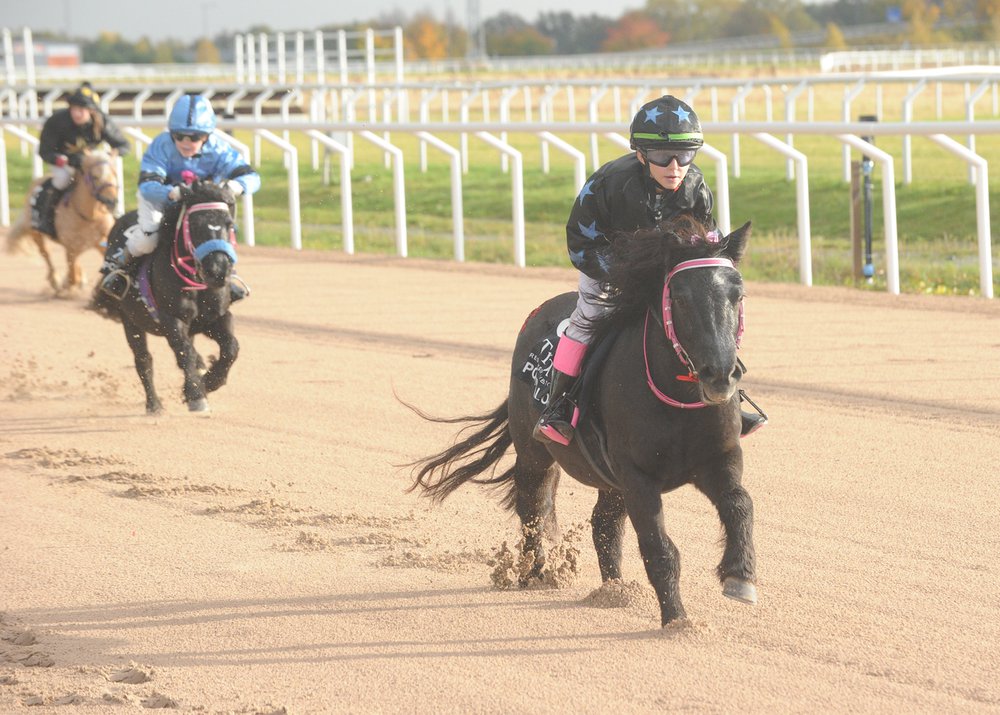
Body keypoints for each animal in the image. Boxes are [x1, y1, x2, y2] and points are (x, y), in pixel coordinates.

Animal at [7, 151, 120, 296]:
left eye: (115, 174)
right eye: (95, 176)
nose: (112, 201)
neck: (90, 216)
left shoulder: (102, 243)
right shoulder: (71, 246)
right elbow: (72, 276)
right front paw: (66, 286)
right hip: (36, 233)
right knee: (46, 253)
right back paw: (55, 280)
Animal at [94, 182, 242, 414]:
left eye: (229, 224)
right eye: (195, 224)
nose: (218, 270)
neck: (196, 283)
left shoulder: (216, 317)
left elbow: (231, 348)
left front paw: (210, 381)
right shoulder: (172, 319)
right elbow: (184, 353)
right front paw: (196, 395)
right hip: (130, 319)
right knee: (143, 359)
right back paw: (154, 404)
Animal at [406, 217, 756, 628]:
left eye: (737, 295)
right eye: (681, 298)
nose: (719, 375)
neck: (678, 400)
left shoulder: (720, 458)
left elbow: (739, 503)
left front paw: (739, 575)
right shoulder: (637, 477)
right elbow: (659, 548)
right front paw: (677, 620)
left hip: (607, 478)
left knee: (602, 523)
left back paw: (615, 591)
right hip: (534, 451)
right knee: (533, 507)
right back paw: (534, 571)